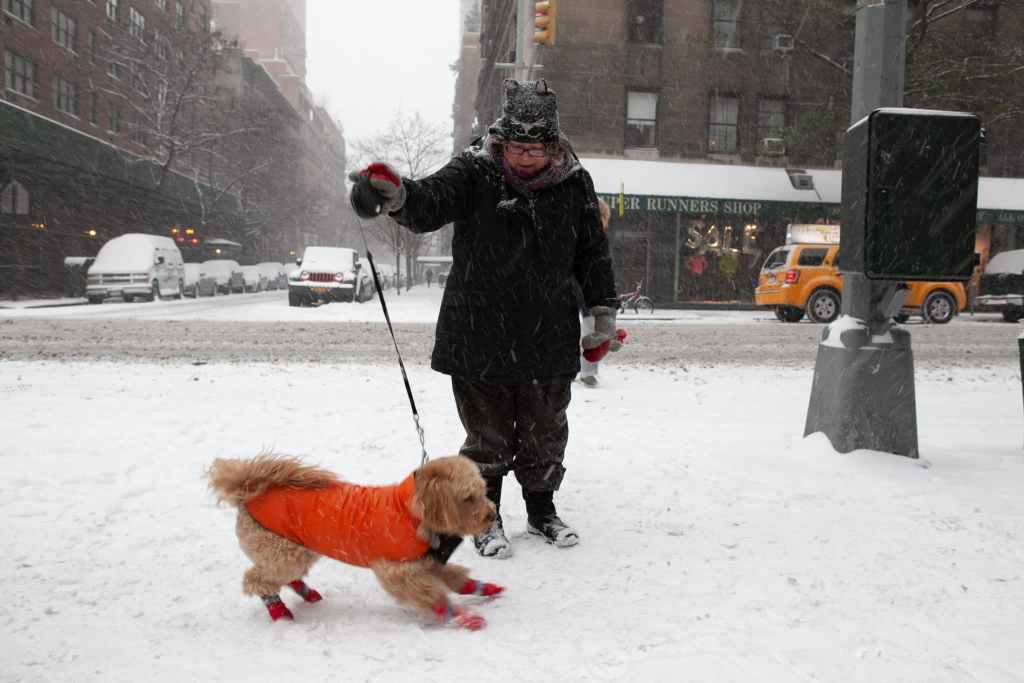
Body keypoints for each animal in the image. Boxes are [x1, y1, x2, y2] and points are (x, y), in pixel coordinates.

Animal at [210, 454, 503, 630]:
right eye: (467, 498)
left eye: (482, 490)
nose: (491, 515)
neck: (411, 512)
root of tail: (249, 493)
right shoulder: (397, 571)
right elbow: (432, 596)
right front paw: (462, 616)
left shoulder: (423, 561)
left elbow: (454, 577)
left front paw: (482, 588)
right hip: (280, 551)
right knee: (257, 580)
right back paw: (278, 611)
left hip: (298, 549)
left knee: (282, 577)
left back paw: (306, 593)